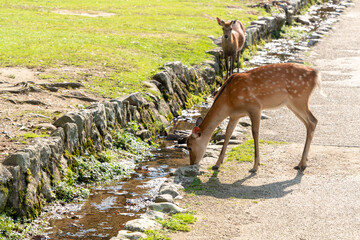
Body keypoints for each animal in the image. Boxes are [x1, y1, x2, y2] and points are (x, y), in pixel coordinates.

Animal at [186, 62, 320, 172]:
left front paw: (255, 166)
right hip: (292, 103)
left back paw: (302, 164)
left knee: (313, 120)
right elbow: (228, 133)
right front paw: (217, 164)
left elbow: (255, 132)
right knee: (310, 123)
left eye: (189, 147)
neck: (229, 101)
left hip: (299, 98)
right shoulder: (235, 115)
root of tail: (316, 74)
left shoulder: (255, 107)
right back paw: (303, 162)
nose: (192, 163)